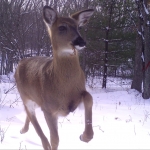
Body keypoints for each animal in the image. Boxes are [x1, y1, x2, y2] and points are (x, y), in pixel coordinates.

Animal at [14, 5, 94, 149]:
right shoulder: (49, 109)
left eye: (78, 27)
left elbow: (89, 97)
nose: (81, 41)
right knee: (34, 121)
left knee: (30, 115)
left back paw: (23, 130)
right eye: (62, 27)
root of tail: (20, 62)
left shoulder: (74, 99)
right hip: (25, 96)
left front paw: (85, 136)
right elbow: (55, 139)